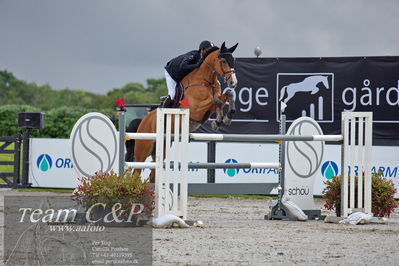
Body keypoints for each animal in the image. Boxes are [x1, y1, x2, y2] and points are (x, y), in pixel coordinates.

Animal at [131, 42, 239, 183]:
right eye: (223, 61)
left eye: (233, 60)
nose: (233, 82)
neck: (206, 80)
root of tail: (143, 120)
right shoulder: (196, 108)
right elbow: (216, 101)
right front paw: (218, 121)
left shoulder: (209, 108)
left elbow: (226, 96)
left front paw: (225, 118)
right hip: (143, 149)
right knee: (136, 172)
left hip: (162, 148)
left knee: (152, 176)